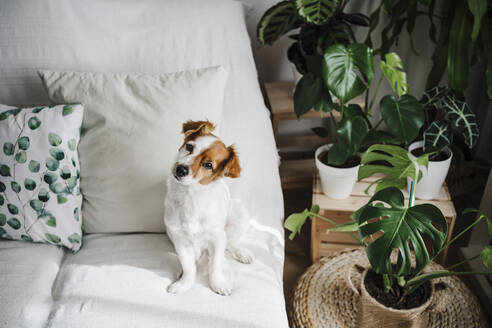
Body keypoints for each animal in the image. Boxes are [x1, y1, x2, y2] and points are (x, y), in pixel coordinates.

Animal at [165, 121, 254, 296]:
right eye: (189, 147)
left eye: (208, 165)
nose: (180, 169)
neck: (191, 195)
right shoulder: (180, 239)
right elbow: (188, 266)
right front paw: (184, 284)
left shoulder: (217, 238)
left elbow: (215, 265)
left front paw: (218, 283)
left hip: (239, 215)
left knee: (231, 243)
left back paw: (241, 253)